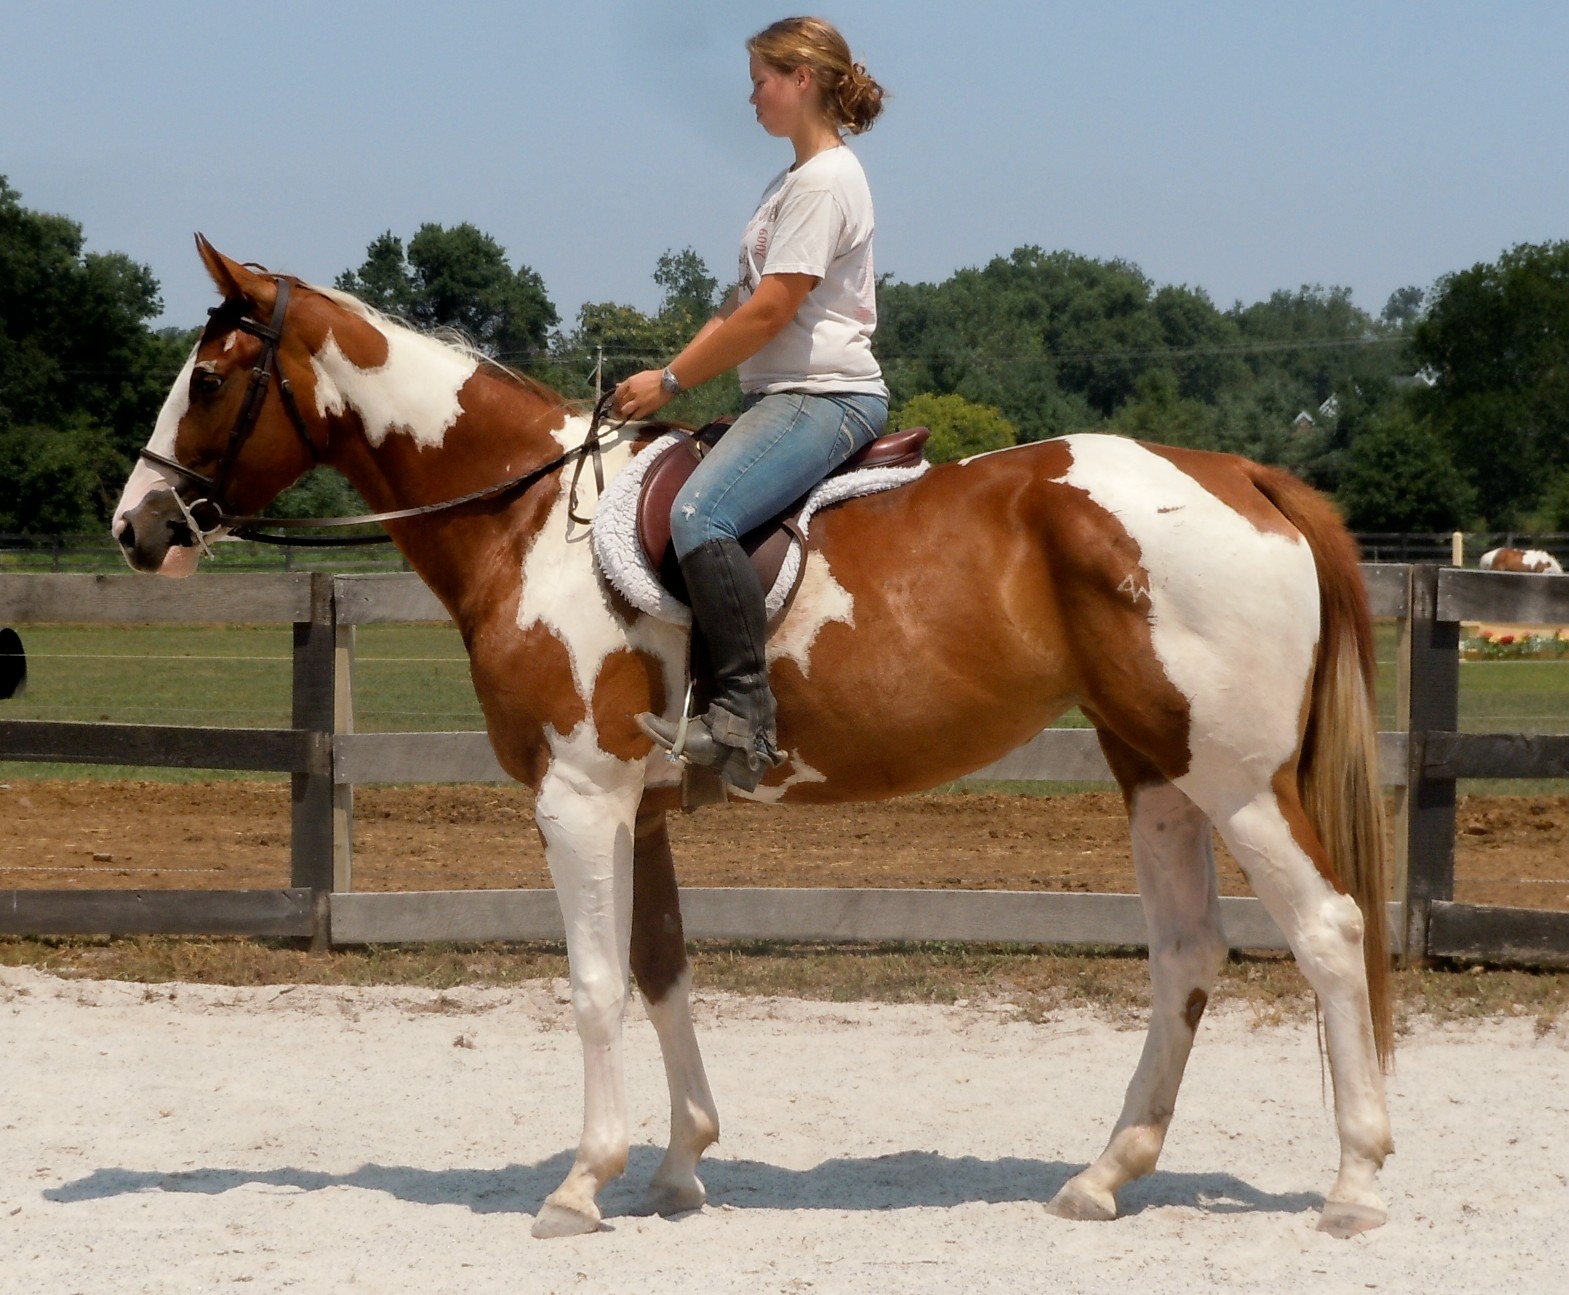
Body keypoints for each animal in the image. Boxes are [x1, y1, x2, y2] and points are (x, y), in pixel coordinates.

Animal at [113, 238, 1394, 1240]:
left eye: (212, 379)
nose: (136, 525)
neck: (530, 517)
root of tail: (1248, 475)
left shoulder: (577, 798)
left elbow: (592, 981)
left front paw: (581, 1182)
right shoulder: (639, 808)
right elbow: (663, 969)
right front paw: (679, 1167)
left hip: (1236, 780)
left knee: (1330, 932)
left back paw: (1355, 1183)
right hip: (1156, 770)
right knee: (1186, 954)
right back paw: (1104, 1174)